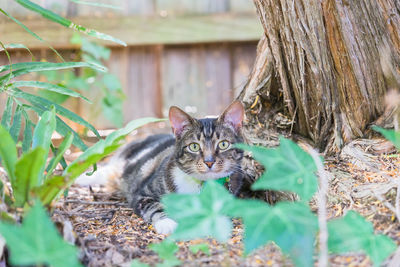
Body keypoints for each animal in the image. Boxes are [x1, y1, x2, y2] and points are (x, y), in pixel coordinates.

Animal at [76, 100, 245, 234]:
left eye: (223, 144)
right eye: (194, 147)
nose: (209, 162)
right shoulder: (142, 193)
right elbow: (155, 207)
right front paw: (167, 223)